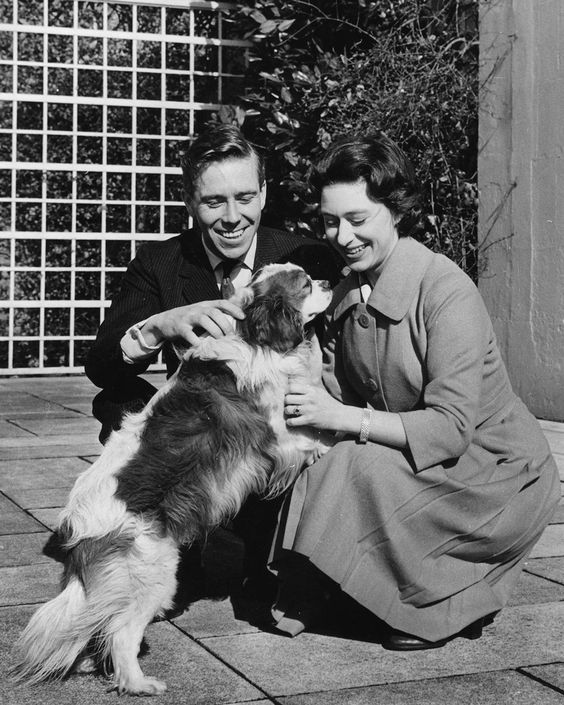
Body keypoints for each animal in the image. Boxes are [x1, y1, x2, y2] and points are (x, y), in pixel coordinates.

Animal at [12, 262, 334, 692]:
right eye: (306, 283)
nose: (330, 280)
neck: (251, 335)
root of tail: (80, 534)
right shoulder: (278, 436)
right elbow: (316, 435)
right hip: (154, 575)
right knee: (121, 633)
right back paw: (138, 683)